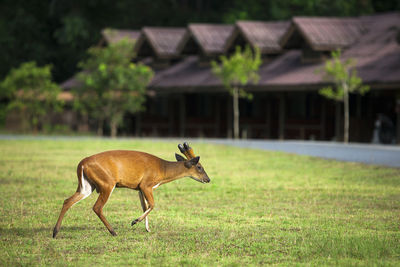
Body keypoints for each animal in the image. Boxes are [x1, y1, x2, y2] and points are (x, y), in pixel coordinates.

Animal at [52, 142, 209, 239]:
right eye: (200, 167)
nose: (208, 179)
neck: (162, 169)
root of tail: (82, 163)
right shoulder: (146, 184)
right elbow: (152, 205)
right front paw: (134, 221)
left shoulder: (139, 188)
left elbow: (145, 206)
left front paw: (147, 229)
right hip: (107, 183)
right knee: (97, 207)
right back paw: (113, 232)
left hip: (87, 186)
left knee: (67, 201)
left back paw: (55, 232)